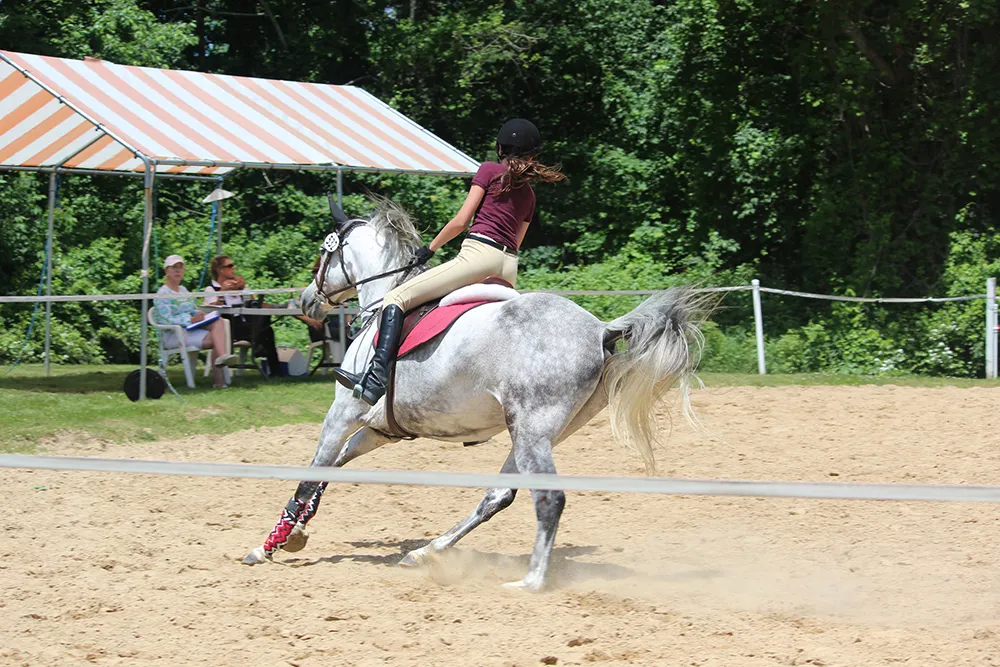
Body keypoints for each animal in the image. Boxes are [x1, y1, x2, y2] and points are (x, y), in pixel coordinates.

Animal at [241, 201, 708, 591]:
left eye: (324, 253)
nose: (307, 301)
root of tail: (599, 329)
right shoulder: (379, 430)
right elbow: (332, 468)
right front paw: (296, 534)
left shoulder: (344, 411)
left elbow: (311, 474)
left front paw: (267, 546)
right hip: (539, 433)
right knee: (499, 496)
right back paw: (426, 551)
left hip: (531, 429)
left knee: (548, 499)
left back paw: (530, 582)